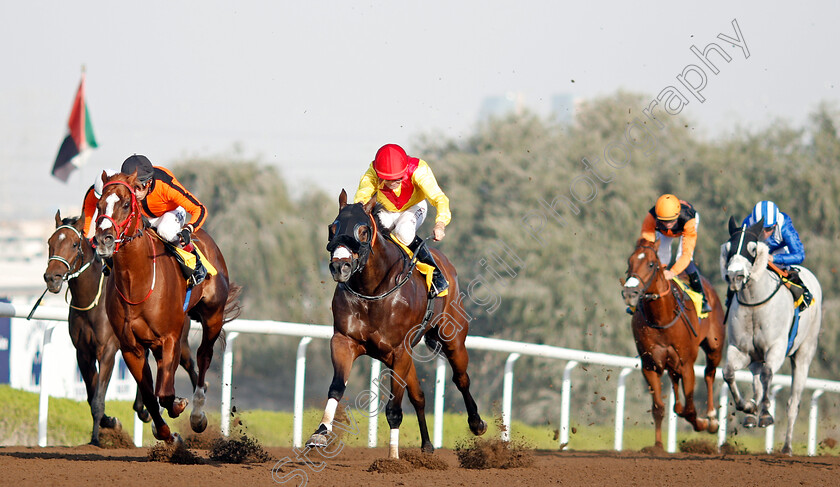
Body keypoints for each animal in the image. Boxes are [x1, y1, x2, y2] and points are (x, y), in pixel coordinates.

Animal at [45, 211, 203, 446]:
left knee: (192, 368)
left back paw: (195, 414)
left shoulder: (107, 350)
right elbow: (91, 395)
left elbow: (98, 399)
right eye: (50, 243)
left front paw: (96, 439)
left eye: (74, 244)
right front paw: (110, 422)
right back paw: (147, 411)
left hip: (179, 341)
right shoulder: (83, 352)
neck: (91, 300)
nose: (51, 278)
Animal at [92, 172, 240, 446]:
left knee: (203, 356)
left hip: (212, 316)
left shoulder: (169, 337)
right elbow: (151, 395)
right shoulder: (131, 347)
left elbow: (165, 392)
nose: (103, 240)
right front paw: (167, 433)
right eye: (99, 205)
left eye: (126, 204)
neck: (137, 282)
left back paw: (198, 413)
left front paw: (179, 407)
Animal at [306, 192, 486, 462]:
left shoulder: (399, 350)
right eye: (332, 228)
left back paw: (476, 423)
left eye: (363, 230)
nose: (340, 267)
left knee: (461, 378)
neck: (372, 290)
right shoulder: (344, 341)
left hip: (452, 338)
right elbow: (337, 387)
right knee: (418, 396)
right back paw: (427, 445)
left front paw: (392, 459)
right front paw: (320, 433)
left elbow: (393, 409)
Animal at [620, 237, 724, 450]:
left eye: (651, 264)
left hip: (714, 347)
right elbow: (658, 407)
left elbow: (690, 409)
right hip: (671, 364)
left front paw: (702, 423)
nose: (629, 293)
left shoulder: (687, 365)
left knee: (709, 374)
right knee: (676, 390)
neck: (662, 317)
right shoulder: (650, 365)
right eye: (629, 262)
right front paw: (658, 446)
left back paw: (711, 418)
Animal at [720, 219, 824, 456]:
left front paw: (766, 414)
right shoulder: (741, 350)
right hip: (755, 359)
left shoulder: (776, 348)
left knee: (792, 402)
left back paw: (786, 447)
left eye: (752, 249)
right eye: (729, 247)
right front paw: (747, 407)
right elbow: (728, 373)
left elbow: (769, 374)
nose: (734, 276)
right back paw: (751, 413)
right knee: (757, 382)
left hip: (804, 354)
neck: (754, 303)